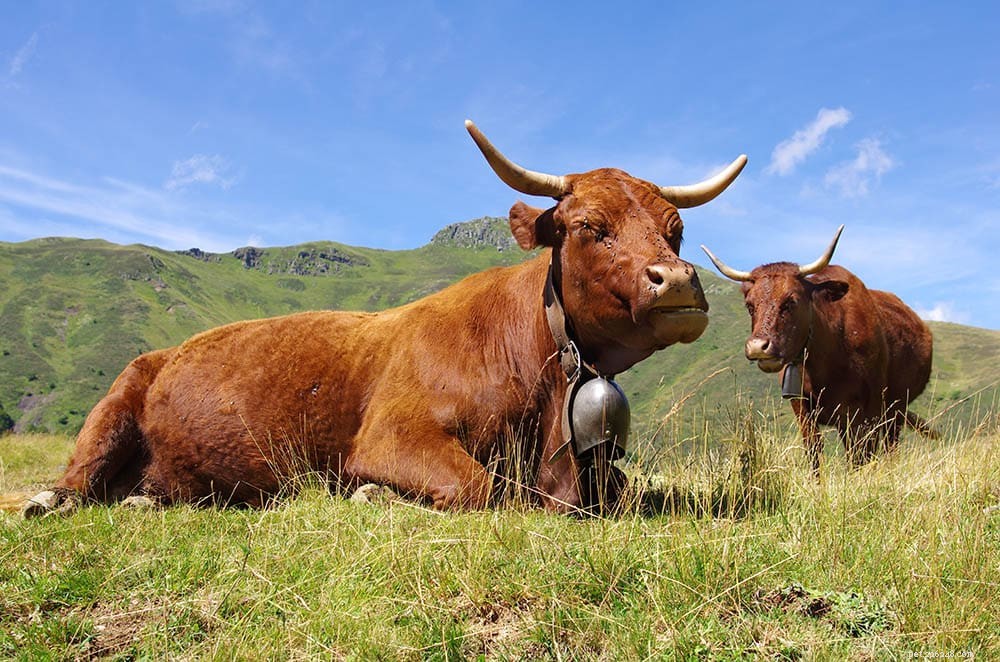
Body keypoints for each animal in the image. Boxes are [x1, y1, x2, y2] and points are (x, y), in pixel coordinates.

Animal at [24, 120, 746, 516]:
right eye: (591, 225)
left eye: (677, 231)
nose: (679, 280)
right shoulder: (393, 434)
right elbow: (482, 488)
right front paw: (373, 495)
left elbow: (620, 488)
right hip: (113, 405)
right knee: (76, 482)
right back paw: (49, 501)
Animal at [701, 226, 935, 475]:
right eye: (749, 305)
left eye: (791, 301)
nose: (758, 347)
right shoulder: (802, 408)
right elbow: (814, 452)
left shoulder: (867, 409)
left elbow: (862, 456)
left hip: (895, 408)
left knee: (890, 447)